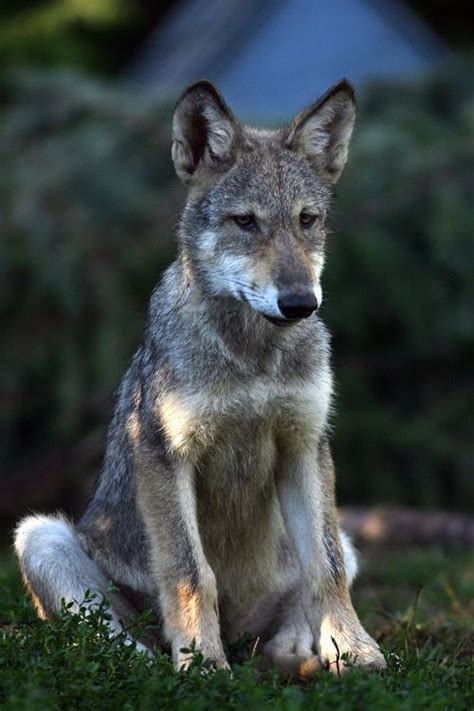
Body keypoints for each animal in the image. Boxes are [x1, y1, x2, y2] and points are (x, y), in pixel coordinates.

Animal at [14, 79, 386, 677]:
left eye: (306, 220)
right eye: (245, 222)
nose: (300, 303)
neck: (253, 357)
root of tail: (241, 638)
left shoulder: (305, 447)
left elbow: (324, 572)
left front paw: (357, 653)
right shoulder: (164, 454)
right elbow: (192, 574)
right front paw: (202, 664)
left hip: (347, 538)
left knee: (295, 615)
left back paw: (296, 658)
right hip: (40, 536)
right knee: (116, 645)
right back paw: (175, 662)